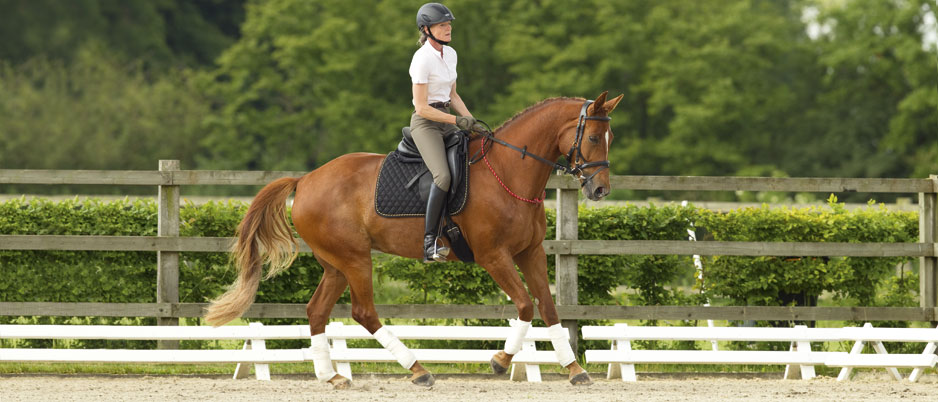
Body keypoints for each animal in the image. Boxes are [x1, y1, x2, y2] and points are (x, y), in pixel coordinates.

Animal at [203, 90, 620, 386]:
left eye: (609, 137)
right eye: (593, 137)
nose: (600, 190)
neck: (508, 174)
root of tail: (305, 180)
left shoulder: (529, 252)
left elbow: (548, 308)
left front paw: (575, 370)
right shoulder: (494, 256)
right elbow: (524, 305)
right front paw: (500, 362)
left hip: (335, 264)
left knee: (317, 311)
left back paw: (332, 376)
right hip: (356, 259)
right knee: (364, 312)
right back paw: (418, 370)